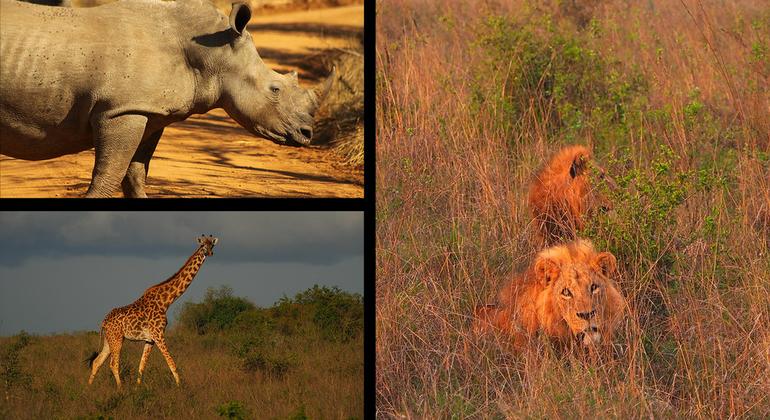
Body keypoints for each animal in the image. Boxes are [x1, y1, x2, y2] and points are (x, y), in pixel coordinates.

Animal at [87, 233, 219, 388]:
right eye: (203, 245)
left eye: (212, 245)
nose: (209, 253)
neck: (166, 302)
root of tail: (103, 322)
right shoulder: (159, 335)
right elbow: (172, 363)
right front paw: (180, 388)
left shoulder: (150, 339)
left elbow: (141, 366)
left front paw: (138, 388)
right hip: (117, 339)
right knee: (113, 364)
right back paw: (121, 389)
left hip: (110, 340)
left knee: (97, 362)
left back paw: (88, 388)